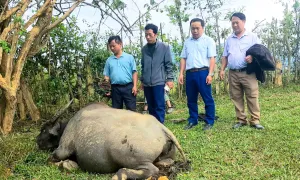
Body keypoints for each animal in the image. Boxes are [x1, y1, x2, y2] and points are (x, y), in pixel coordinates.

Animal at [36, 102, 186, 179]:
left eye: (43, 130)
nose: (37, 141)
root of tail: (160, 127)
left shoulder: (62, 150)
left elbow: (52, 160)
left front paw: (68, 164)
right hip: (166, 158)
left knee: (152, 170)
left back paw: (119, 175)